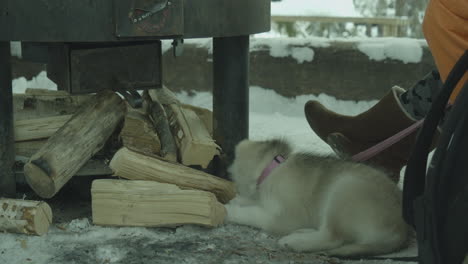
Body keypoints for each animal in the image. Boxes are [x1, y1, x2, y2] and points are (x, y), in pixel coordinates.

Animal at [225, 139, 408, 256]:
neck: (273, 168)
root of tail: (400, 231)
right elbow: (254, 202)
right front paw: (237, 200)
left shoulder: (284, 218)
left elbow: (254, 214)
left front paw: (230, 210)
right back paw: (304, 232)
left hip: (343, 190)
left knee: (332, 237)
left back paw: (295, 241)